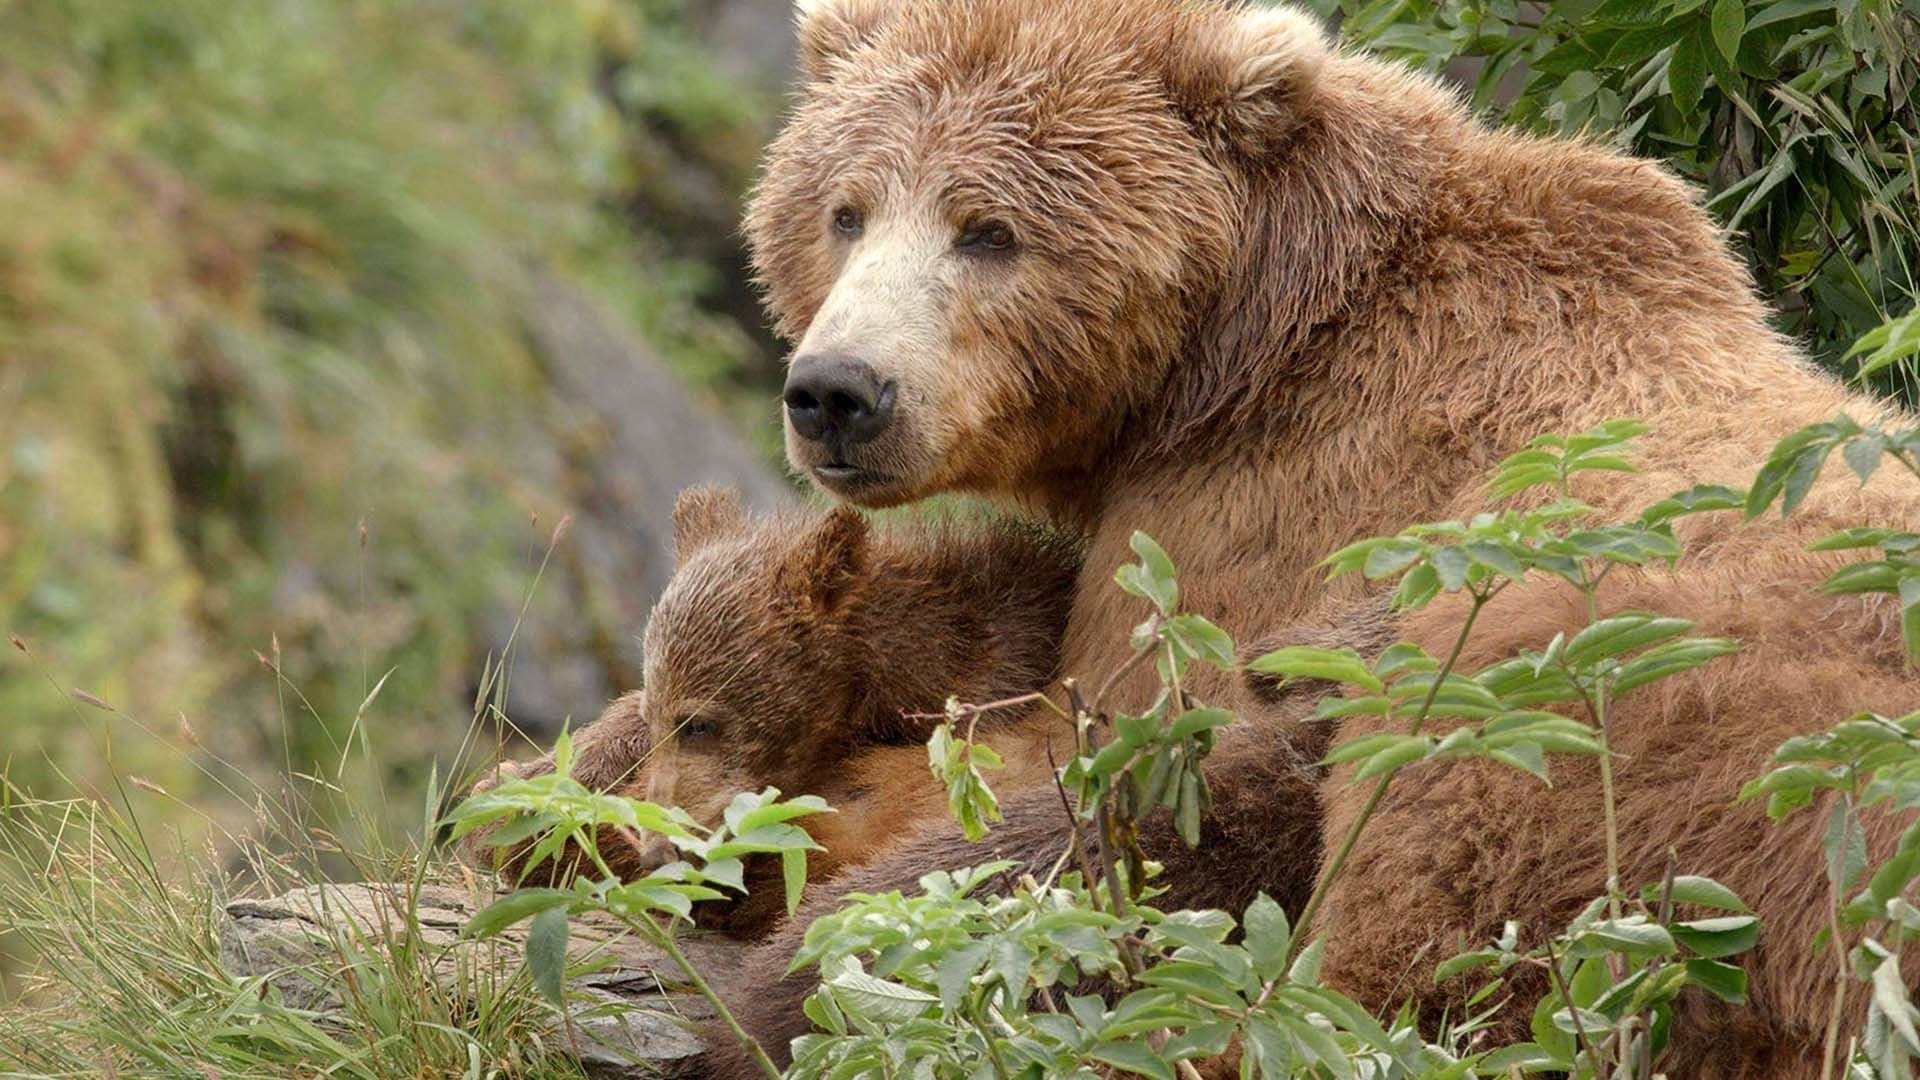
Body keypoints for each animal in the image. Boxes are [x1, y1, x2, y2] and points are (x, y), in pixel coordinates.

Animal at [710, 0, 1920, 1060]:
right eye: (845, 210)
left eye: (990, 231)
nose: (838, 392)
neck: (1240, 344)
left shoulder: (1257, 519)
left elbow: (1074, 747)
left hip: (1600, 708)